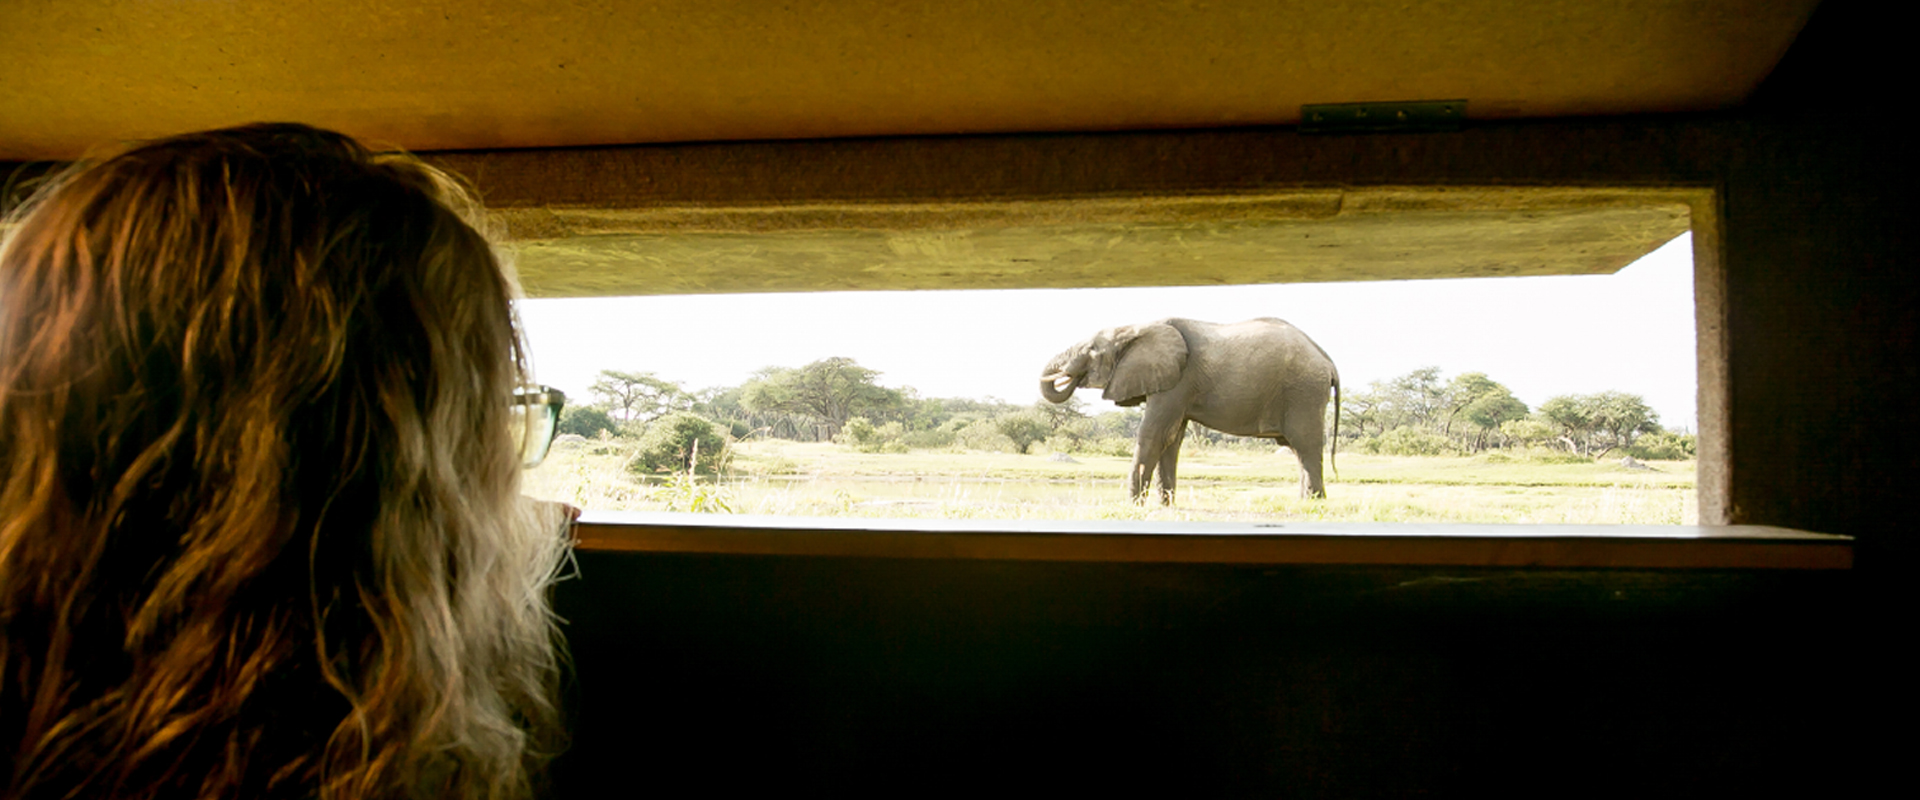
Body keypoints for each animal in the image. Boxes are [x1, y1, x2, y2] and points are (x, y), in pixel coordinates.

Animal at [1044, 316, 1344, 498]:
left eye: (1092, 350)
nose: (1067, 376)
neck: (1140, 327)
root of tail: (1328, 360)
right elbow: (1171, 439)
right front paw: (1165, 507)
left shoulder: (1177, 381)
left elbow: (1154, 435)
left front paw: (1133, 507)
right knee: (1298, 450)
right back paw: (1306, 503)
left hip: (1303, 392)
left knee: (1305, 445)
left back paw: (1313, 504)